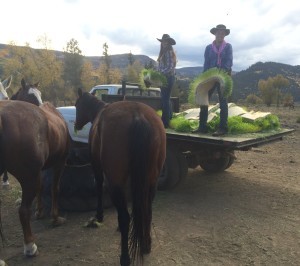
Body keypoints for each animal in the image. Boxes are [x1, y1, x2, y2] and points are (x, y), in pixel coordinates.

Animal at [0, 90, 70, 256]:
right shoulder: (60, 162)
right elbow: (54, 188)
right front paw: (55, 217)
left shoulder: (40, 170)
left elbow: (41, 189)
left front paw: (39, 211)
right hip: (28, 178)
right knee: (23, 211)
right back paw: (30, 245)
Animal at [73, 88, 165, 264]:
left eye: (76, 105)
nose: (76, 125)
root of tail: (138, 116)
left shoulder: (97, 166)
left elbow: (99, 186)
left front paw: (99, 215)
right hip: (152, 181)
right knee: (147, 210)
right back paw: (146, 244)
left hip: (115, 183)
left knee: (125, 218)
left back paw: (125, 257)